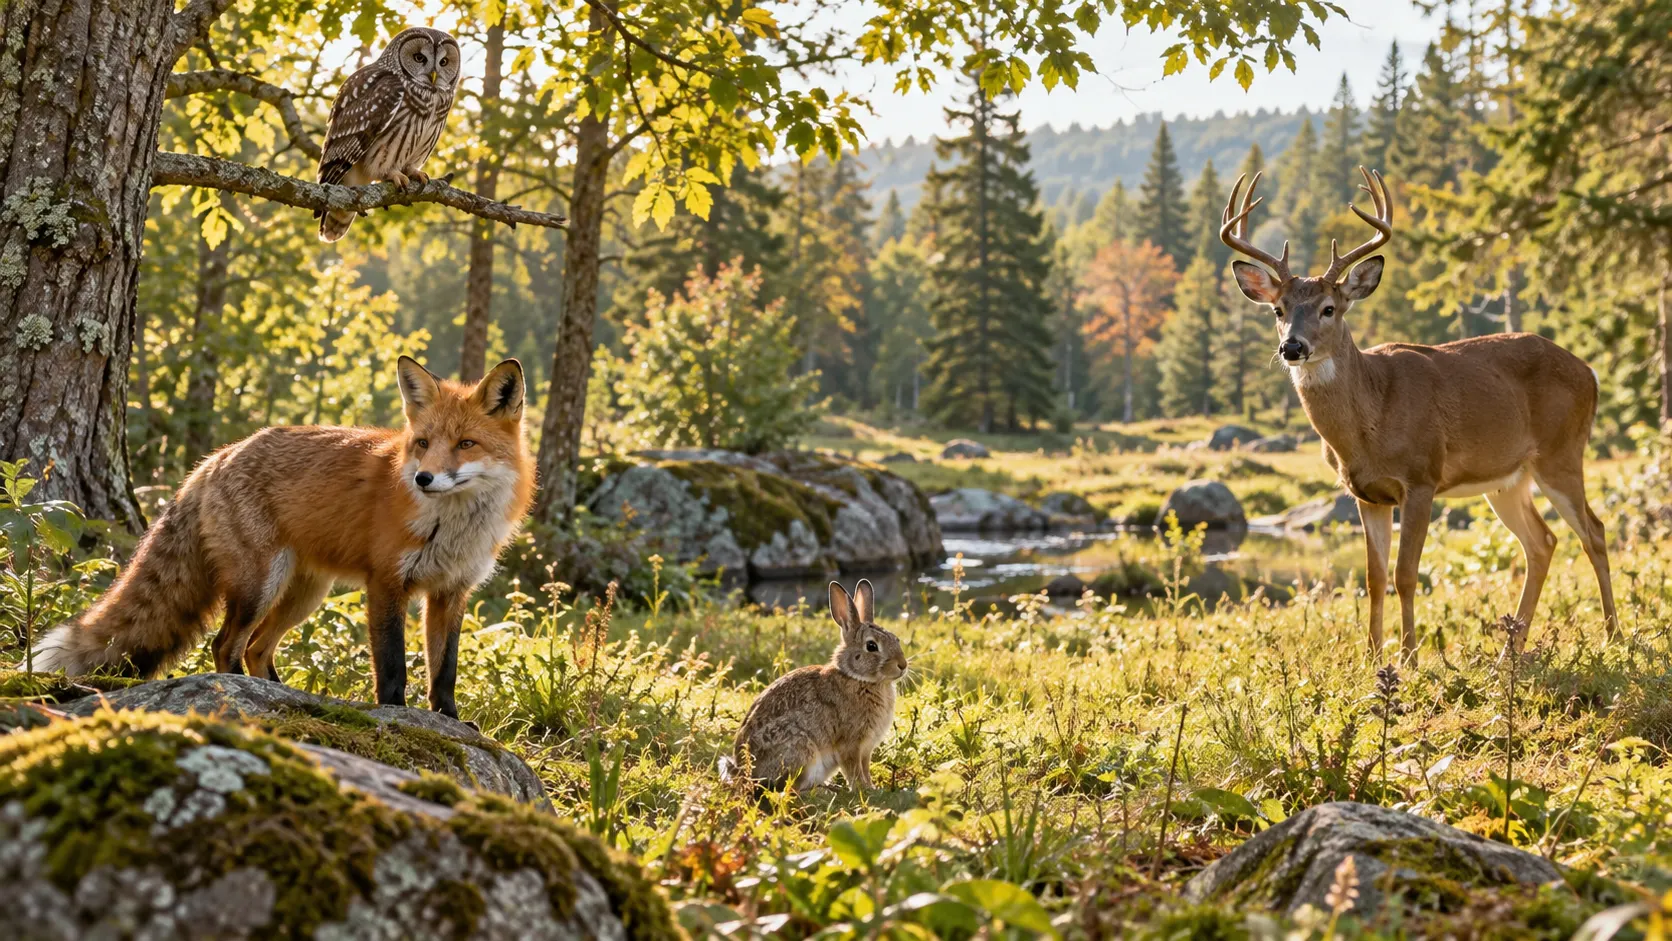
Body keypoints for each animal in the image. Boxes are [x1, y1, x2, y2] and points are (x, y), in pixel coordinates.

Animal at [32, 356, 535, 717]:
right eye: (424, 444)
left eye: (466, 444)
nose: (423, 479)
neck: (451, 527)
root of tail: (215, 458)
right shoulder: (386, 583)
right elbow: (392, 664)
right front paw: (397, 714)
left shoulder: (451, 592)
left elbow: (444, 669)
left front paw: (450, 720)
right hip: (261, 585)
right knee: (225, 645)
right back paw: (242, 693)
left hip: (304, 596)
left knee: (257, 647)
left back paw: (280, 695)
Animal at [719, 579, 908, 792]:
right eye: (871, 646)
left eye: (896, 639)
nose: (903, 665)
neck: (859, 678)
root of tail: (743, 771)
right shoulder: (851, 744)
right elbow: (854, 769)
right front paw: (863, 789)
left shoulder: (866, 748)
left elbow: (865, 767)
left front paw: (872, 787)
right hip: (801, 749)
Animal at [1220, 167, 1617, 663]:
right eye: (1278, 309)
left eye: (1329, 309)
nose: (1292, 347)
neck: (1368, 424)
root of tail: (1590, 372)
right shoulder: (1365, 495)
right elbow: (1373, 578)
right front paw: (1372, 656)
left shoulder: (1422, 477)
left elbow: (1405, 574)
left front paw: (1407, 657)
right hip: (1507, 480)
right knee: (1542, 542)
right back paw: (1509, 652)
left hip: (1561, 453)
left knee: (1594, 531)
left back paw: (1614, 637)